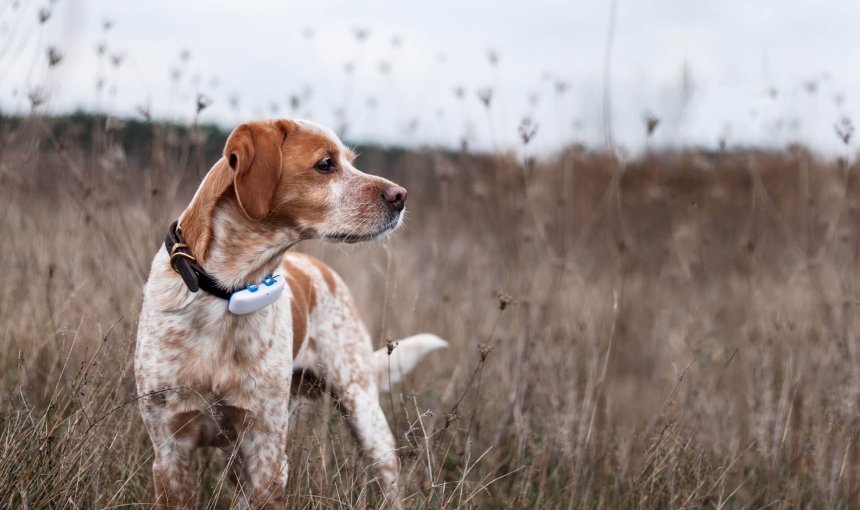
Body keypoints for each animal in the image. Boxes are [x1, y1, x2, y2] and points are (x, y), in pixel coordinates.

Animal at [133, 118, 450, 506]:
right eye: (326, 164)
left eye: (351, 161)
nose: (401, 195)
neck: (227, 292)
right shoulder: (170, 451)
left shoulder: (267, 451)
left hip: (364, 414)